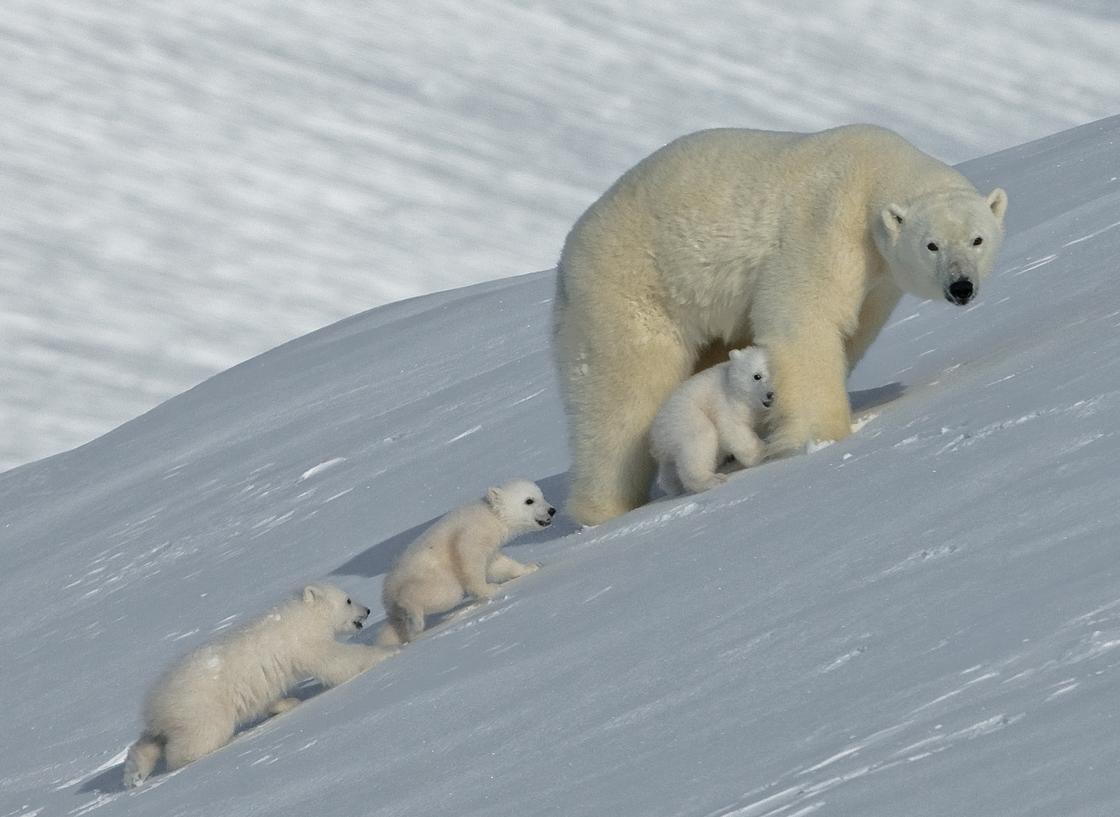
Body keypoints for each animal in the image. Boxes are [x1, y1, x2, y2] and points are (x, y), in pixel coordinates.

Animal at [123, 578, 392, 784]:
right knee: (197, 740)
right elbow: (334, 661)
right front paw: (384, 653)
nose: (367, 610)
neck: (304, 617)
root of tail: (156, 704)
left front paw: (287, 702)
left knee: (149, 741)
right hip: (202, 708)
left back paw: (134, 774)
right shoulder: (304, 644)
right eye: (348, 600)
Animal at [376, 477, 555, 645]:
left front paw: (531, 567)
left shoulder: (491, 545)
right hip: (431, 577)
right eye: (529, 500)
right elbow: (469, 557)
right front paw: (489, 589)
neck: (492, 515)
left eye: (541, 495)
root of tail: (388, 591)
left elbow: (498, 564)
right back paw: (414, 619)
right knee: (443, 593)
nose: (552, 510)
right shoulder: (473, 531)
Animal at [654, 345, 775, 493]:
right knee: (700, 439)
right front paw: (763, 453)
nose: (770, 394)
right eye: (757, 376)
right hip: (685, 417)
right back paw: (711, 480)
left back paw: (674, 486)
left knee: (669, 466)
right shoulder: (728, 402)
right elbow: (733, 429)